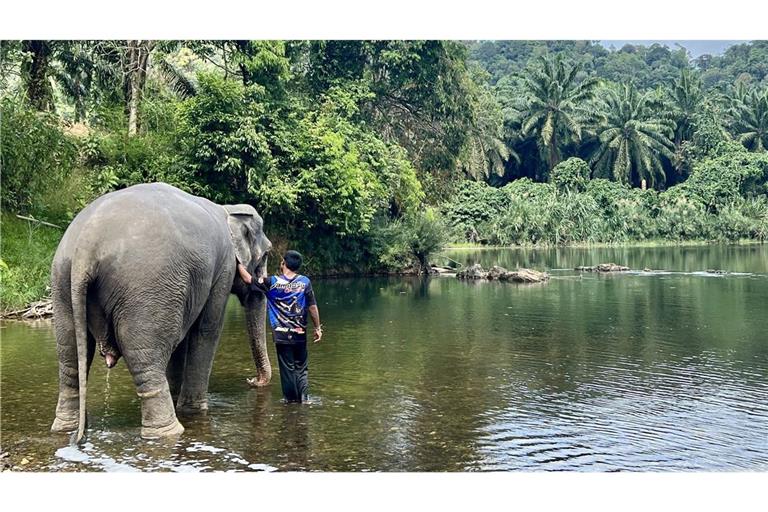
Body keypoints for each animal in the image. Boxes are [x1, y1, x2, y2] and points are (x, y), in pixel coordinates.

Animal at [50, 182, 272, 442]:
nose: (252, 380)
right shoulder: (223, 269)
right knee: (147, 359)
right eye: (266, 255)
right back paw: (168, 431)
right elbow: (206, 330)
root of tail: (87, 245)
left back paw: (65, 428)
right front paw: (193, 410)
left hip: (62, 282)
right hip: (145, 289)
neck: (228, 209)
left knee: (70, 357)